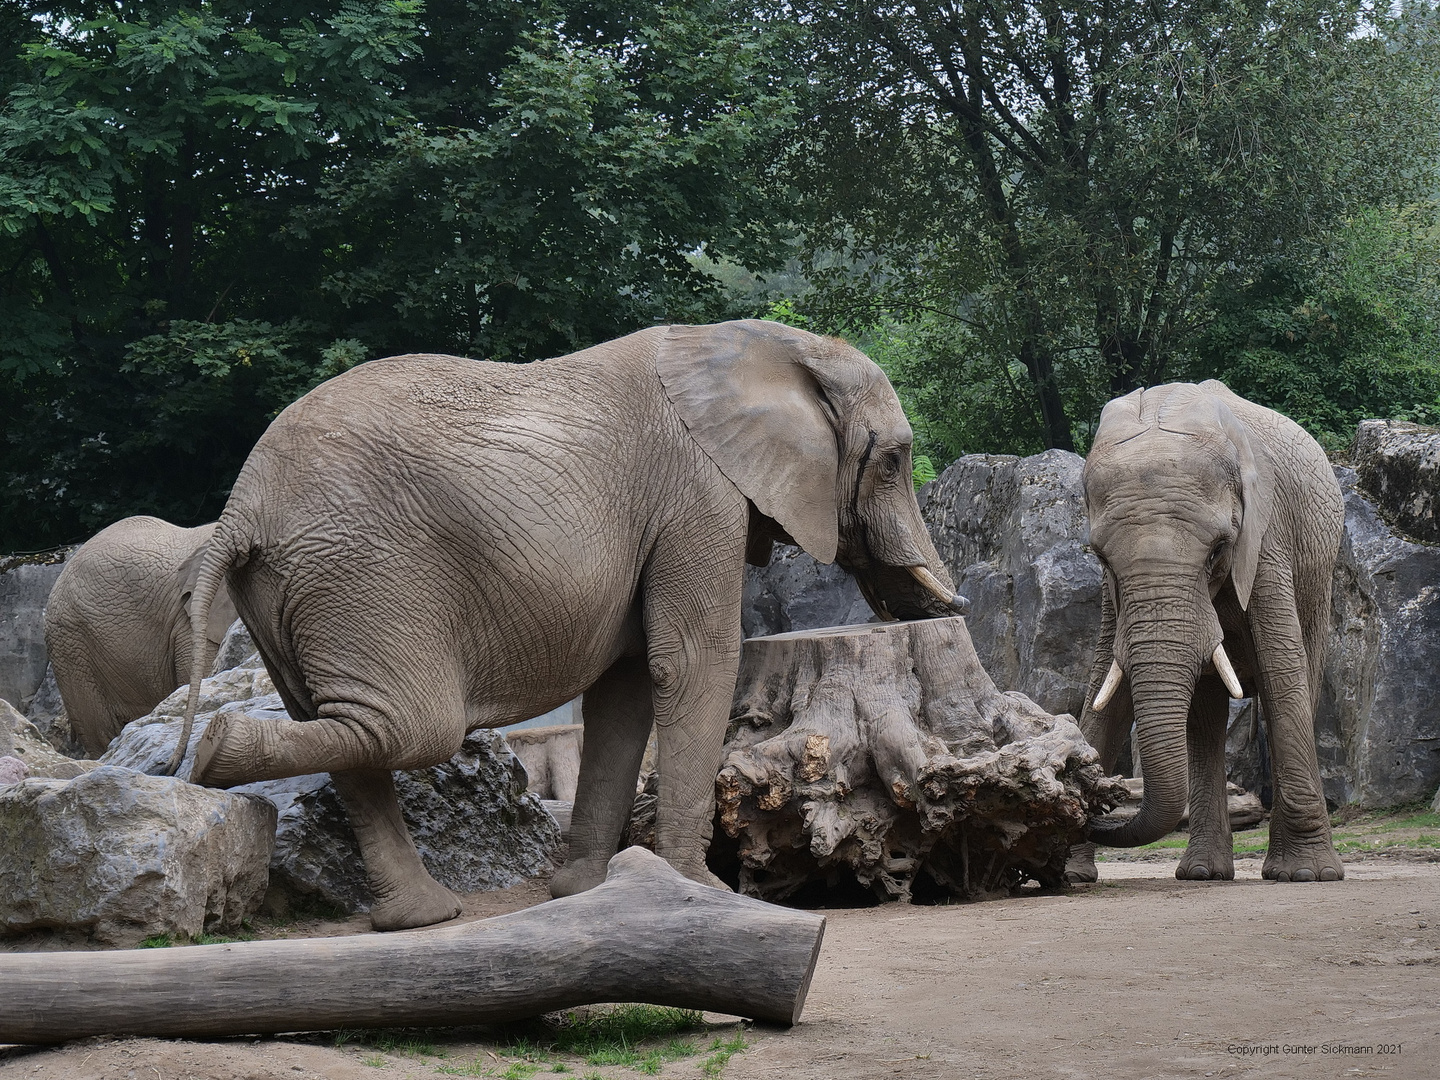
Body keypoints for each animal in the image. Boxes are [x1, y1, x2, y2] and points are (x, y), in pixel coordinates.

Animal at [177, 319, 967, 933]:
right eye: (894, 461)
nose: (948, 607)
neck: (766, 348)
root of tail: (243, 503)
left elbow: (629, 685)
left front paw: (589, 891)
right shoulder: (698, 494)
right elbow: (692, 661)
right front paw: (701, 893)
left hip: (290, 590)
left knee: (333, 722)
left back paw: (418, 914)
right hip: (363, 576)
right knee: (411, 726)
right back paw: (216, 751)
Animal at [1071, 385, 1347, 881]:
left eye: (1219, 549)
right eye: (1100, 557)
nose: (1103, 808)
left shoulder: (1267, 538)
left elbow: (1282, 673)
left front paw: (1308, 875)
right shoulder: (1112, 597)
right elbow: (1105, 685)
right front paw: (1065, 870)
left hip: (1320, 583)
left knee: (1298, 685)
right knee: (1205, 719)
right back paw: (1203, 873)